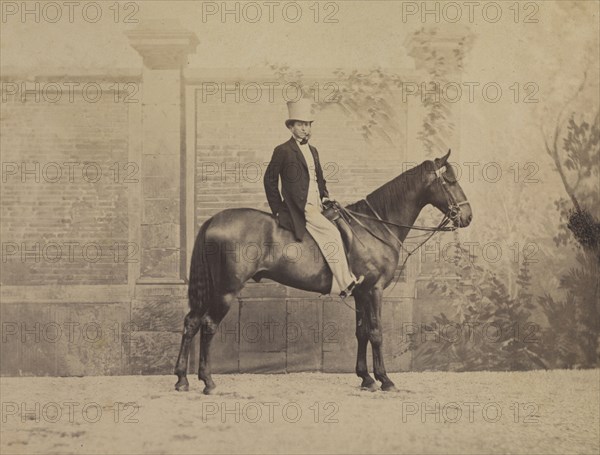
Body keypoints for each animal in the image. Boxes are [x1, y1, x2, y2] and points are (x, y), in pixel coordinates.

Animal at [176, 151, 472, 394]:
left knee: (191, 322)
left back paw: (182, 379)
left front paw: (366, 378)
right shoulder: (374, 290)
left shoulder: (361, 293)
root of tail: (214, 219)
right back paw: (208, 381)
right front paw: (385, 380)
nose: (467, 216)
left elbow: (361, 332)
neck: (374, 226)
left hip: (212, 290)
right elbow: (376, 332)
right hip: (226, 291)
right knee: (208, 325)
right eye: (451, 181)